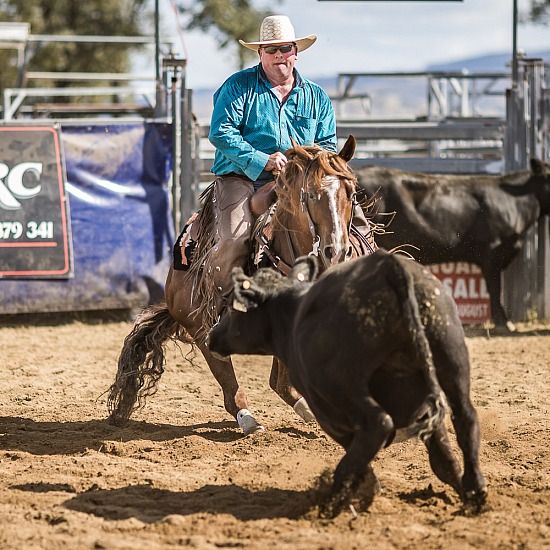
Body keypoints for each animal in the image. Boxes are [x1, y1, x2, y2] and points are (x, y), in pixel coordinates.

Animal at [106, 135, 378, 436]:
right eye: (310, 194)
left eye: (351, 193)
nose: (337, 251)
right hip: (199, 326)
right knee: (230, 382)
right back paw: (249, 419)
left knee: (279, 383)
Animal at [206, 252, 488, 520]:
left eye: (235, 308)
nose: (211, 334)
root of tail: (387, 267)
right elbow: (443, 458)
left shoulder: (330, 414)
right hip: (451, 360)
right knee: (465, 418)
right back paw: (475, 490)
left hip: (342, 388)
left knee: (377, 424)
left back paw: (330, 503)